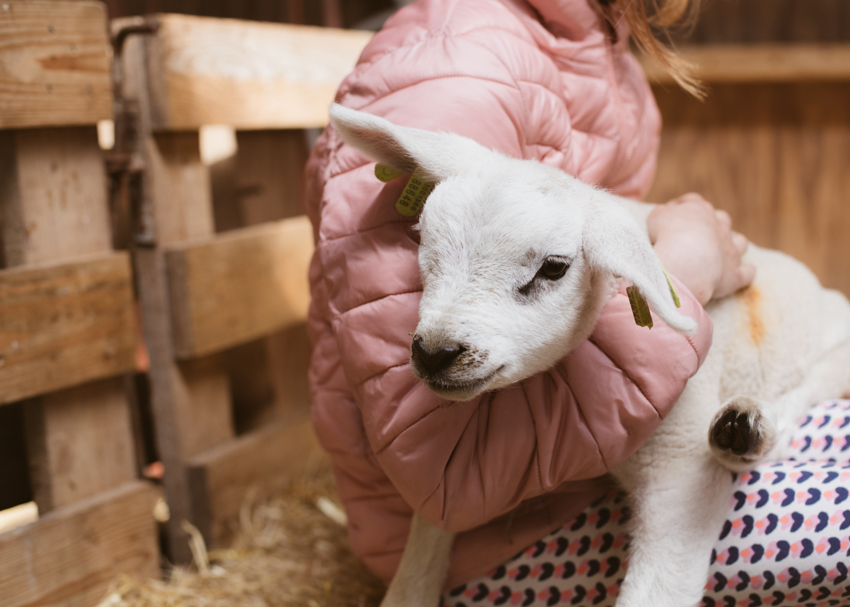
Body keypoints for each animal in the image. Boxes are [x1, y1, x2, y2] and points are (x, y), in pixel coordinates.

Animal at [328, 104, 848, 607]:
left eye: (554, 268)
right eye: (420, 239)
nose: (434, 353)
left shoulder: (680, 467)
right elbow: (426, 538)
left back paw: (747, 429)